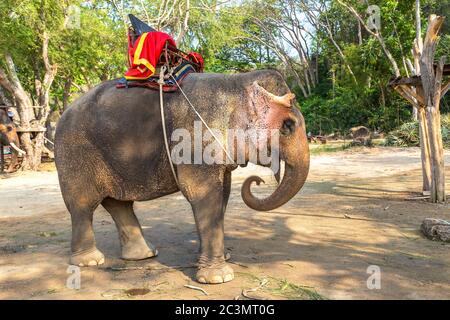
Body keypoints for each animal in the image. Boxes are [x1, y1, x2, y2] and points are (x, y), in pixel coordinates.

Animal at [53, 69, 310, 284]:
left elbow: (223, 193)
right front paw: (219, 277)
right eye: (287, 126)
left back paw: (144, 255)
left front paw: (218, 258)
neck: (235, 82)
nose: (257, 180)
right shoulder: (194, 139)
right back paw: (90, 261)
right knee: (82, 205)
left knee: (118, 203)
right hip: (74, 154)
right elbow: (202, 194)